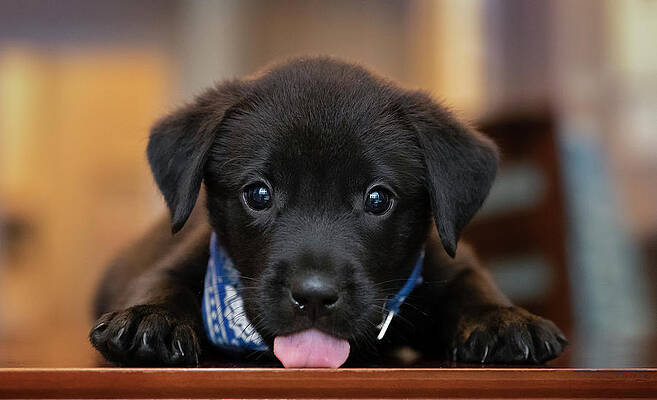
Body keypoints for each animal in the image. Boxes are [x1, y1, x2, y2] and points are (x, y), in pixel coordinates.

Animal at [89, 56, 568, 366]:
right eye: (258, 194)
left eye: (378, 199)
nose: (315, 295)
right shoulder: (185, 256)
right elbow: (161, 280)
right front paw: (150, 317)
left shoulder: (447, 261)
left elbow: (473, 284)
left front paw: (504, 320)